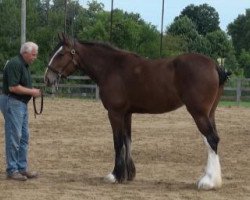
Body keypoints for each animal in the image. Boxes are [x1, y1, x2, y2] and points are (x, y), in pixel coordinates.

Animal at [44, 33, 230, 190]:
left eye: (61, 54)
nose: (47, 78)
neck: (111, 68)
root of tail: (214, 65)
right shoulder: (127, 114)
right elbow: (128, 141)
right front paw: (128, 174)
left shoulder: (115, 113)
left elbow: (117, 142)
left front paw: (115, 175)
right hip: (210, 113)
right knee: (212, 140)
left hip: (198, 113)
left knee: (211, 139)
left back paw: (208, 182)